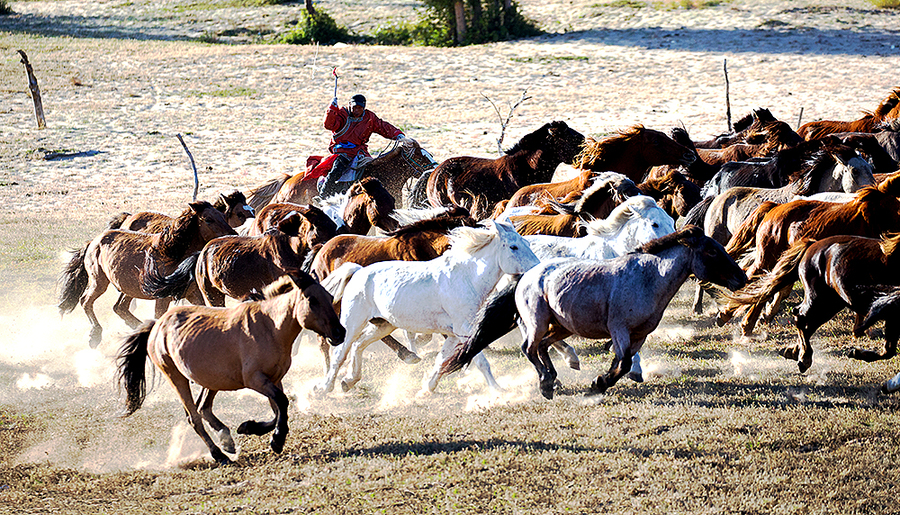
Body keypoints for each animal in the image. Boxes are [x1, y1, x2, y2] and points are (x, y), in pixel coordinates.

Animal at [57, 201, 236, 346]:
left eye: (223, 216)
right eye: (208, 219)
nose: (233, 235)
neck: (172, 252)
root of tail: (93, 242)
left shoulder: (192, 293)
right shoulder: (163, 297)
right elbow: (159, 316)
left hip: (128, 288)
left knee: (119, 307)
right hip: (99, 282)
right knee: (85, 301)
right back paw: (95, 336)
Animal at [116, 274, 344, 468]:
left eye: (330, 297)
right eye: (312, 300)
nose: (339, 332)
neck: (270, 327)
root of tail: (157, 325)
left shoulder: (274, 379)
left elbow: (278, 408)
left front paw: (249, 428)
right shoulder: (255, 380)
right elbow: (282, 403)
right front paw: (277, 440)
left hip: (211, 380)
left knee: (203, 407)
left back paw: (227, 441)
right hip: (176, 377)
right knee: (194, 417)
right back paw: (219, 454)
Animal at [314, 221, 536, 396]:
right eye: (514, 247)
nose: (536, 268)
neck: (466, 277)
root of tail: (358, 271)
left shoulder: (454, 334)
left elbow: (441, 359)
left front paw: (428, 386)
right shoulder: (465, 330)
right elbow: (480, 361)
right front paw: (498, 390)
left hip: (383, 325)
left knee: (359, 345)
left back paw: (349, 381)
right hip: (352, 323)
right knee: (340, 353)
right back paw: (324, 388)